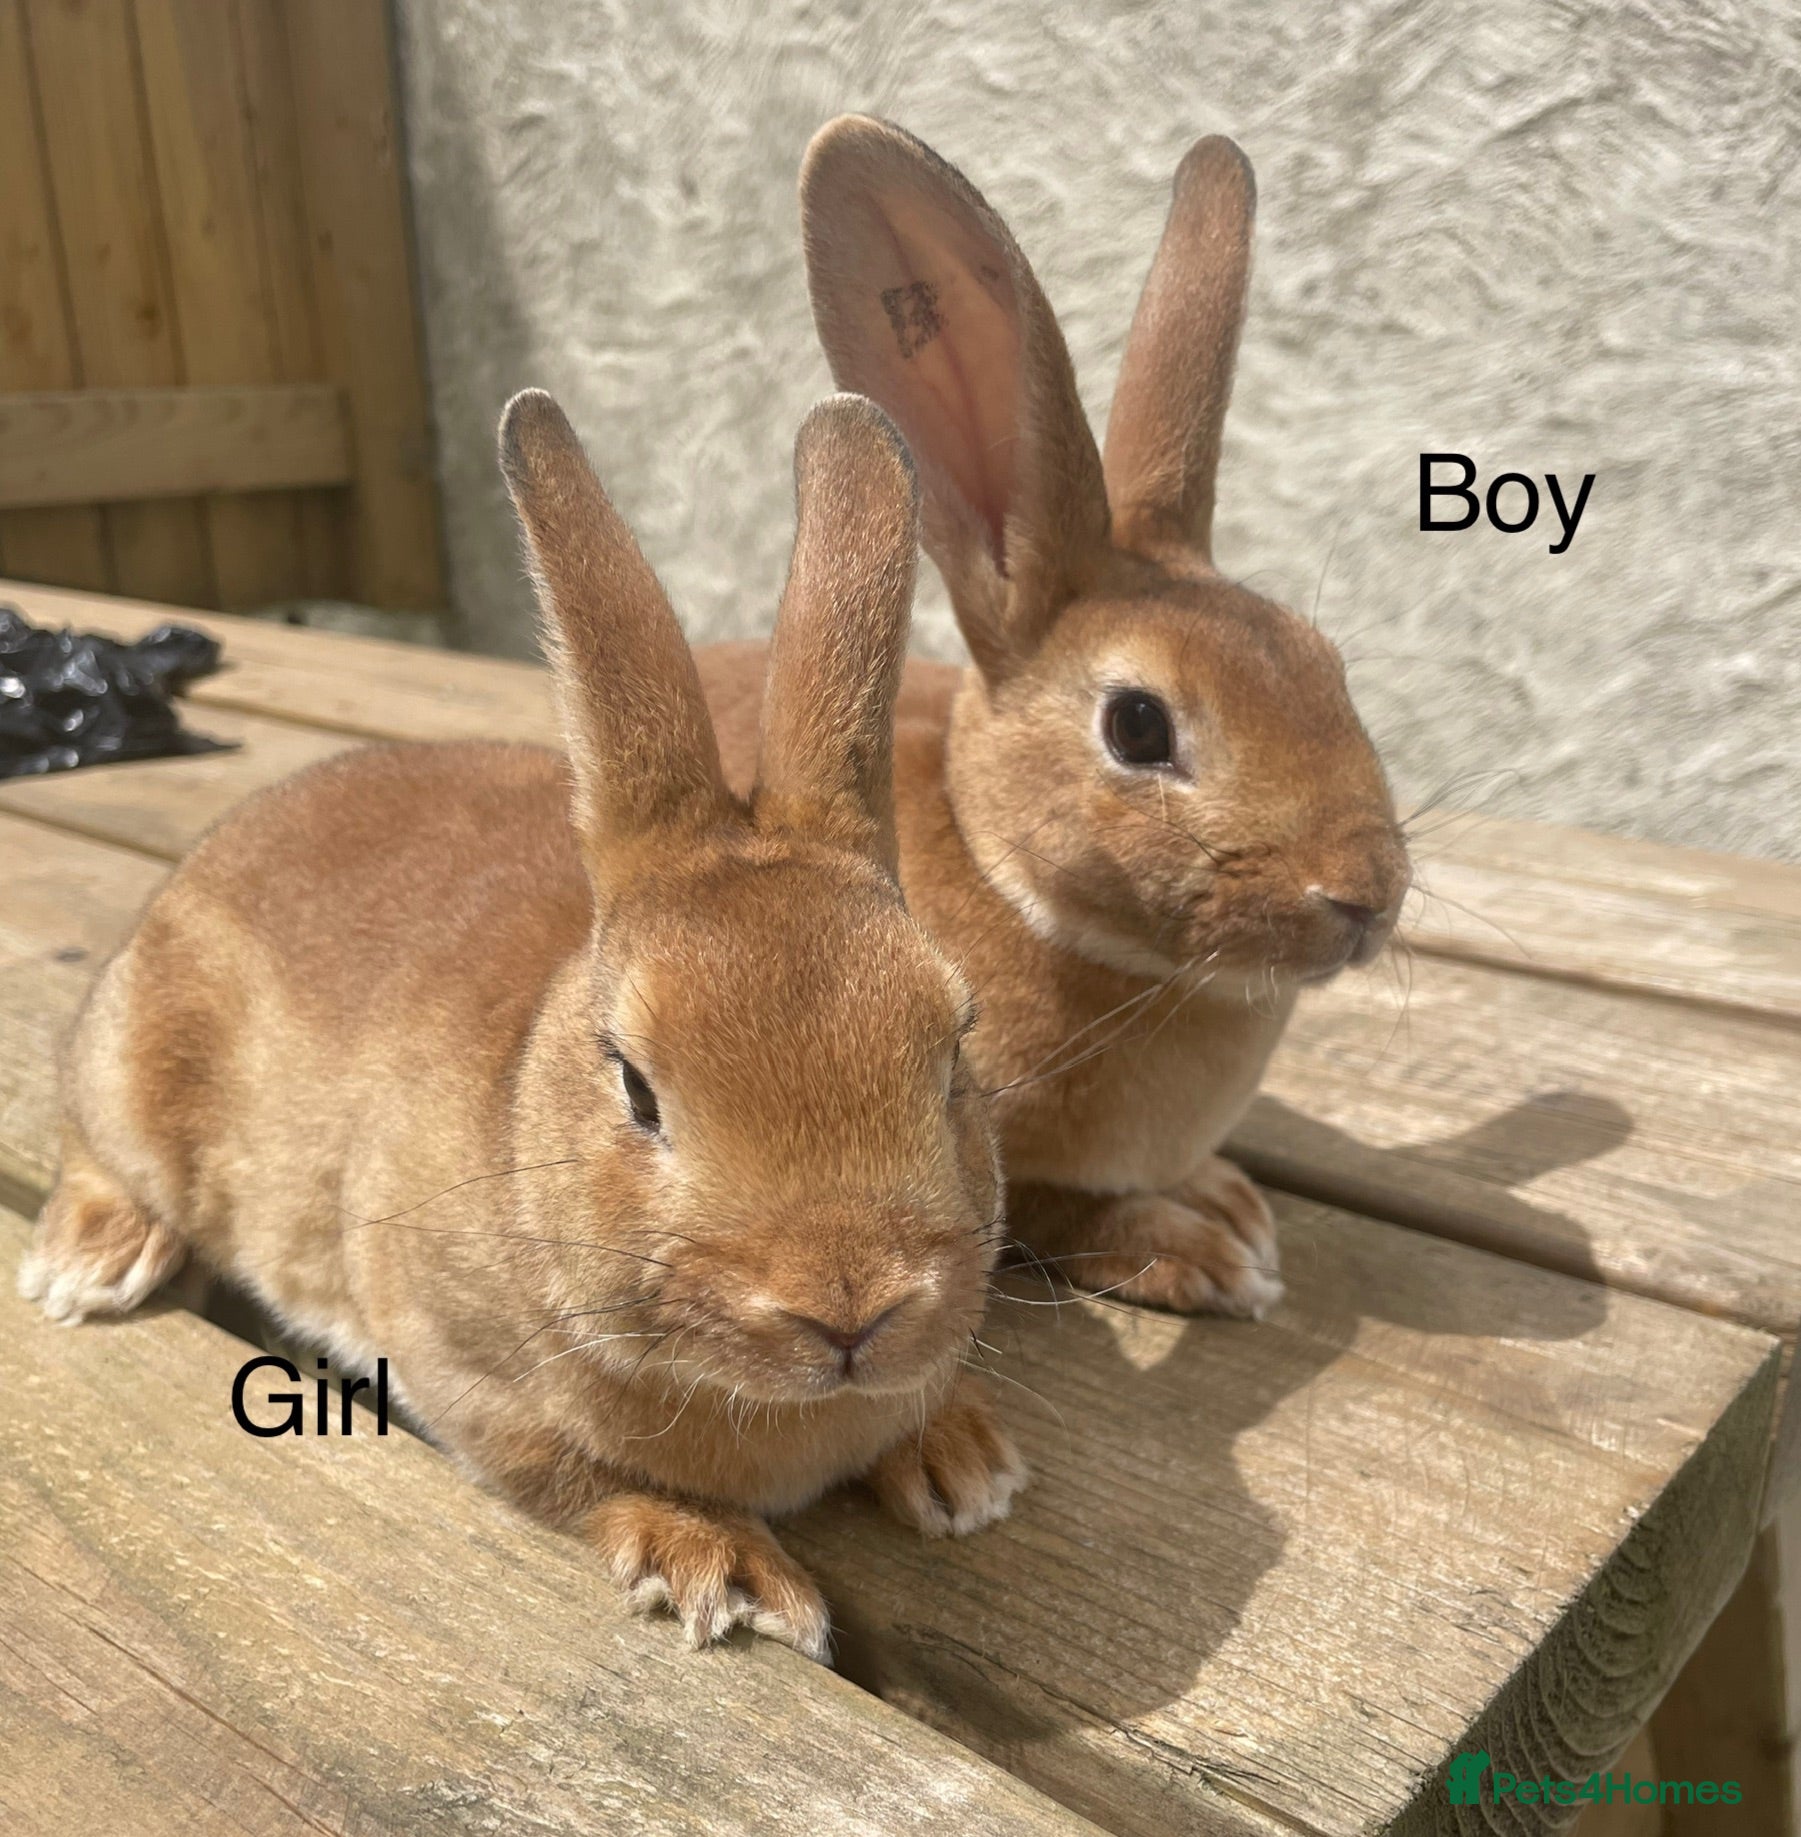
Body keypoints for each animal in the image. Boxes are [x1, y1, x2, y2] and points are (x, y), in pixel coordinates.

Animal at [20, 389, 1025, 1660]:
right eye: (635, 1087)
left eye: (954, 1050)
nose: (850, 1308)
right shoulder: (449, 1358)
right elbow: (566, 1474)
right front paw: (728, 1571)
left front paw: (964, 1461)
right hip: (132, 1078)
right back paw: (92, 1262)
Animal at [697, 120, 1410, 1320]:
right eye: (1137, 726)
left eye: (1325, 669)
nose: (1365, 897)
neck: (1005, 876)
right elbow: (1040, 1209)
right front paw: (1201, 1246)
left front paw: (1225, 1200)